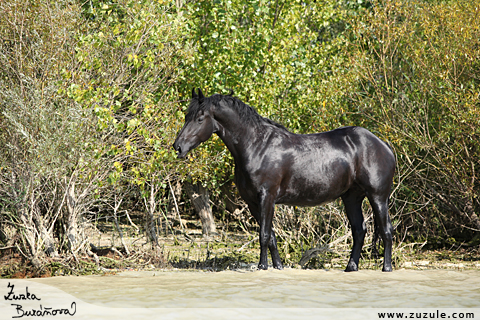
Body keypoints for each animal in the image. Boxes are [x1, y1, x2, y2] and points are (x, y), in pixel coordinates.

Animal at [172, 89, 394, 272]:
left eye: (200, 118)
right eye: (186, 116)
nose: (178, 147)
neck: (257, 145)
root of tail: (383, 144)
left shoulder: (267, 197)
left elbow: (263, 234)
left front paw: (262, 266)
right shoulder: (253, 202)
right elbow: (270, 236)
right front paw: (277, 266)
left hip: (378, 197)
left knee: (386, 231)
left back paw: (387, 268)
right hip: (351, 198)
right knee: (359, 230)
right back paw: (351, 267)